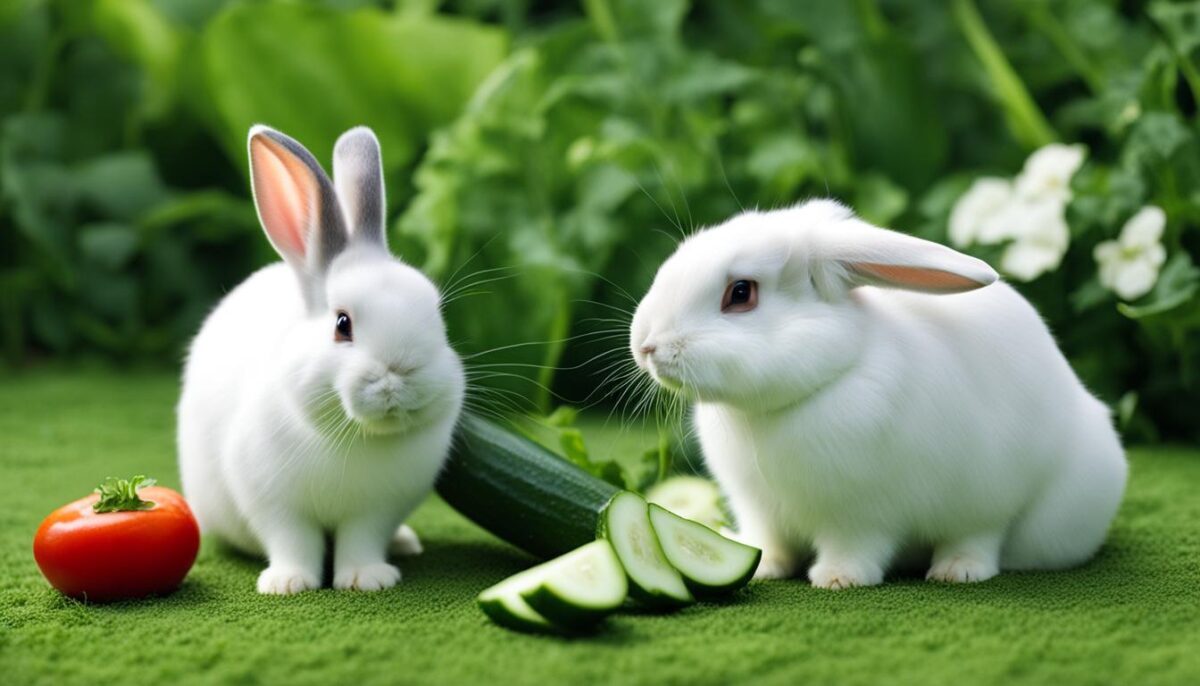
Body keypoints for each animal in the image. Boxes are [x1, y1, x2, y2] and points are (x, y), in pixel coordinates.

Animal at [178, 125, 465, 594]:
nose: (399, 373)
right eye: (342, 324)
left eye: (436, 314)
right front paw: (288, 583)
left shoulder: (376, 510)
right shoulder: (274, 503)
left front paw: (367, 579)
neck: (352, 437)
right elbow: (292, 541)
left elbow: (362, 540)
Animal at [629, 200, 1127, 589]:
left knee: (981, 536)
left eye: (740, 293)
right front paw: (763, 567)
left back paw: (957, 571)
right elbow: (768, 543)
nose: (646, 345)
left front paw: (837, 578)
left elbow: (854, 547)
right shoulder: (759, 511)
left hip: (993, 496)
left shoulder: (858, 514)